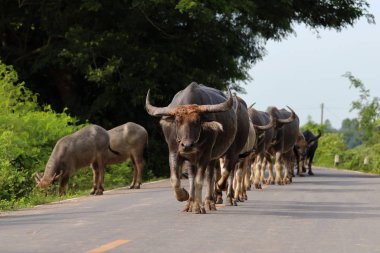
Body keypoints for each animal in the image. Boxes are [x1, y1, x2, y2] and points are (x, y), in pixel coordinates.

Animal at [146, 82, 238, 213]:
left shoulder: (205, 155)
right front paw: (184, 196)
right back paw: (189, 203)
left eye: (197, 122)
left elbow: (200, 181)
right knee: (191, 177)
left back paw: (209, 202)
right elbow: (175, 180)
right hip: (191, 159)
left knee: (210, 176)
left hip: (213, 157)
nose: (187, 145)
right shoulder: (174, 152)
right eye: (177, 121)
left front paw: (198, 206)